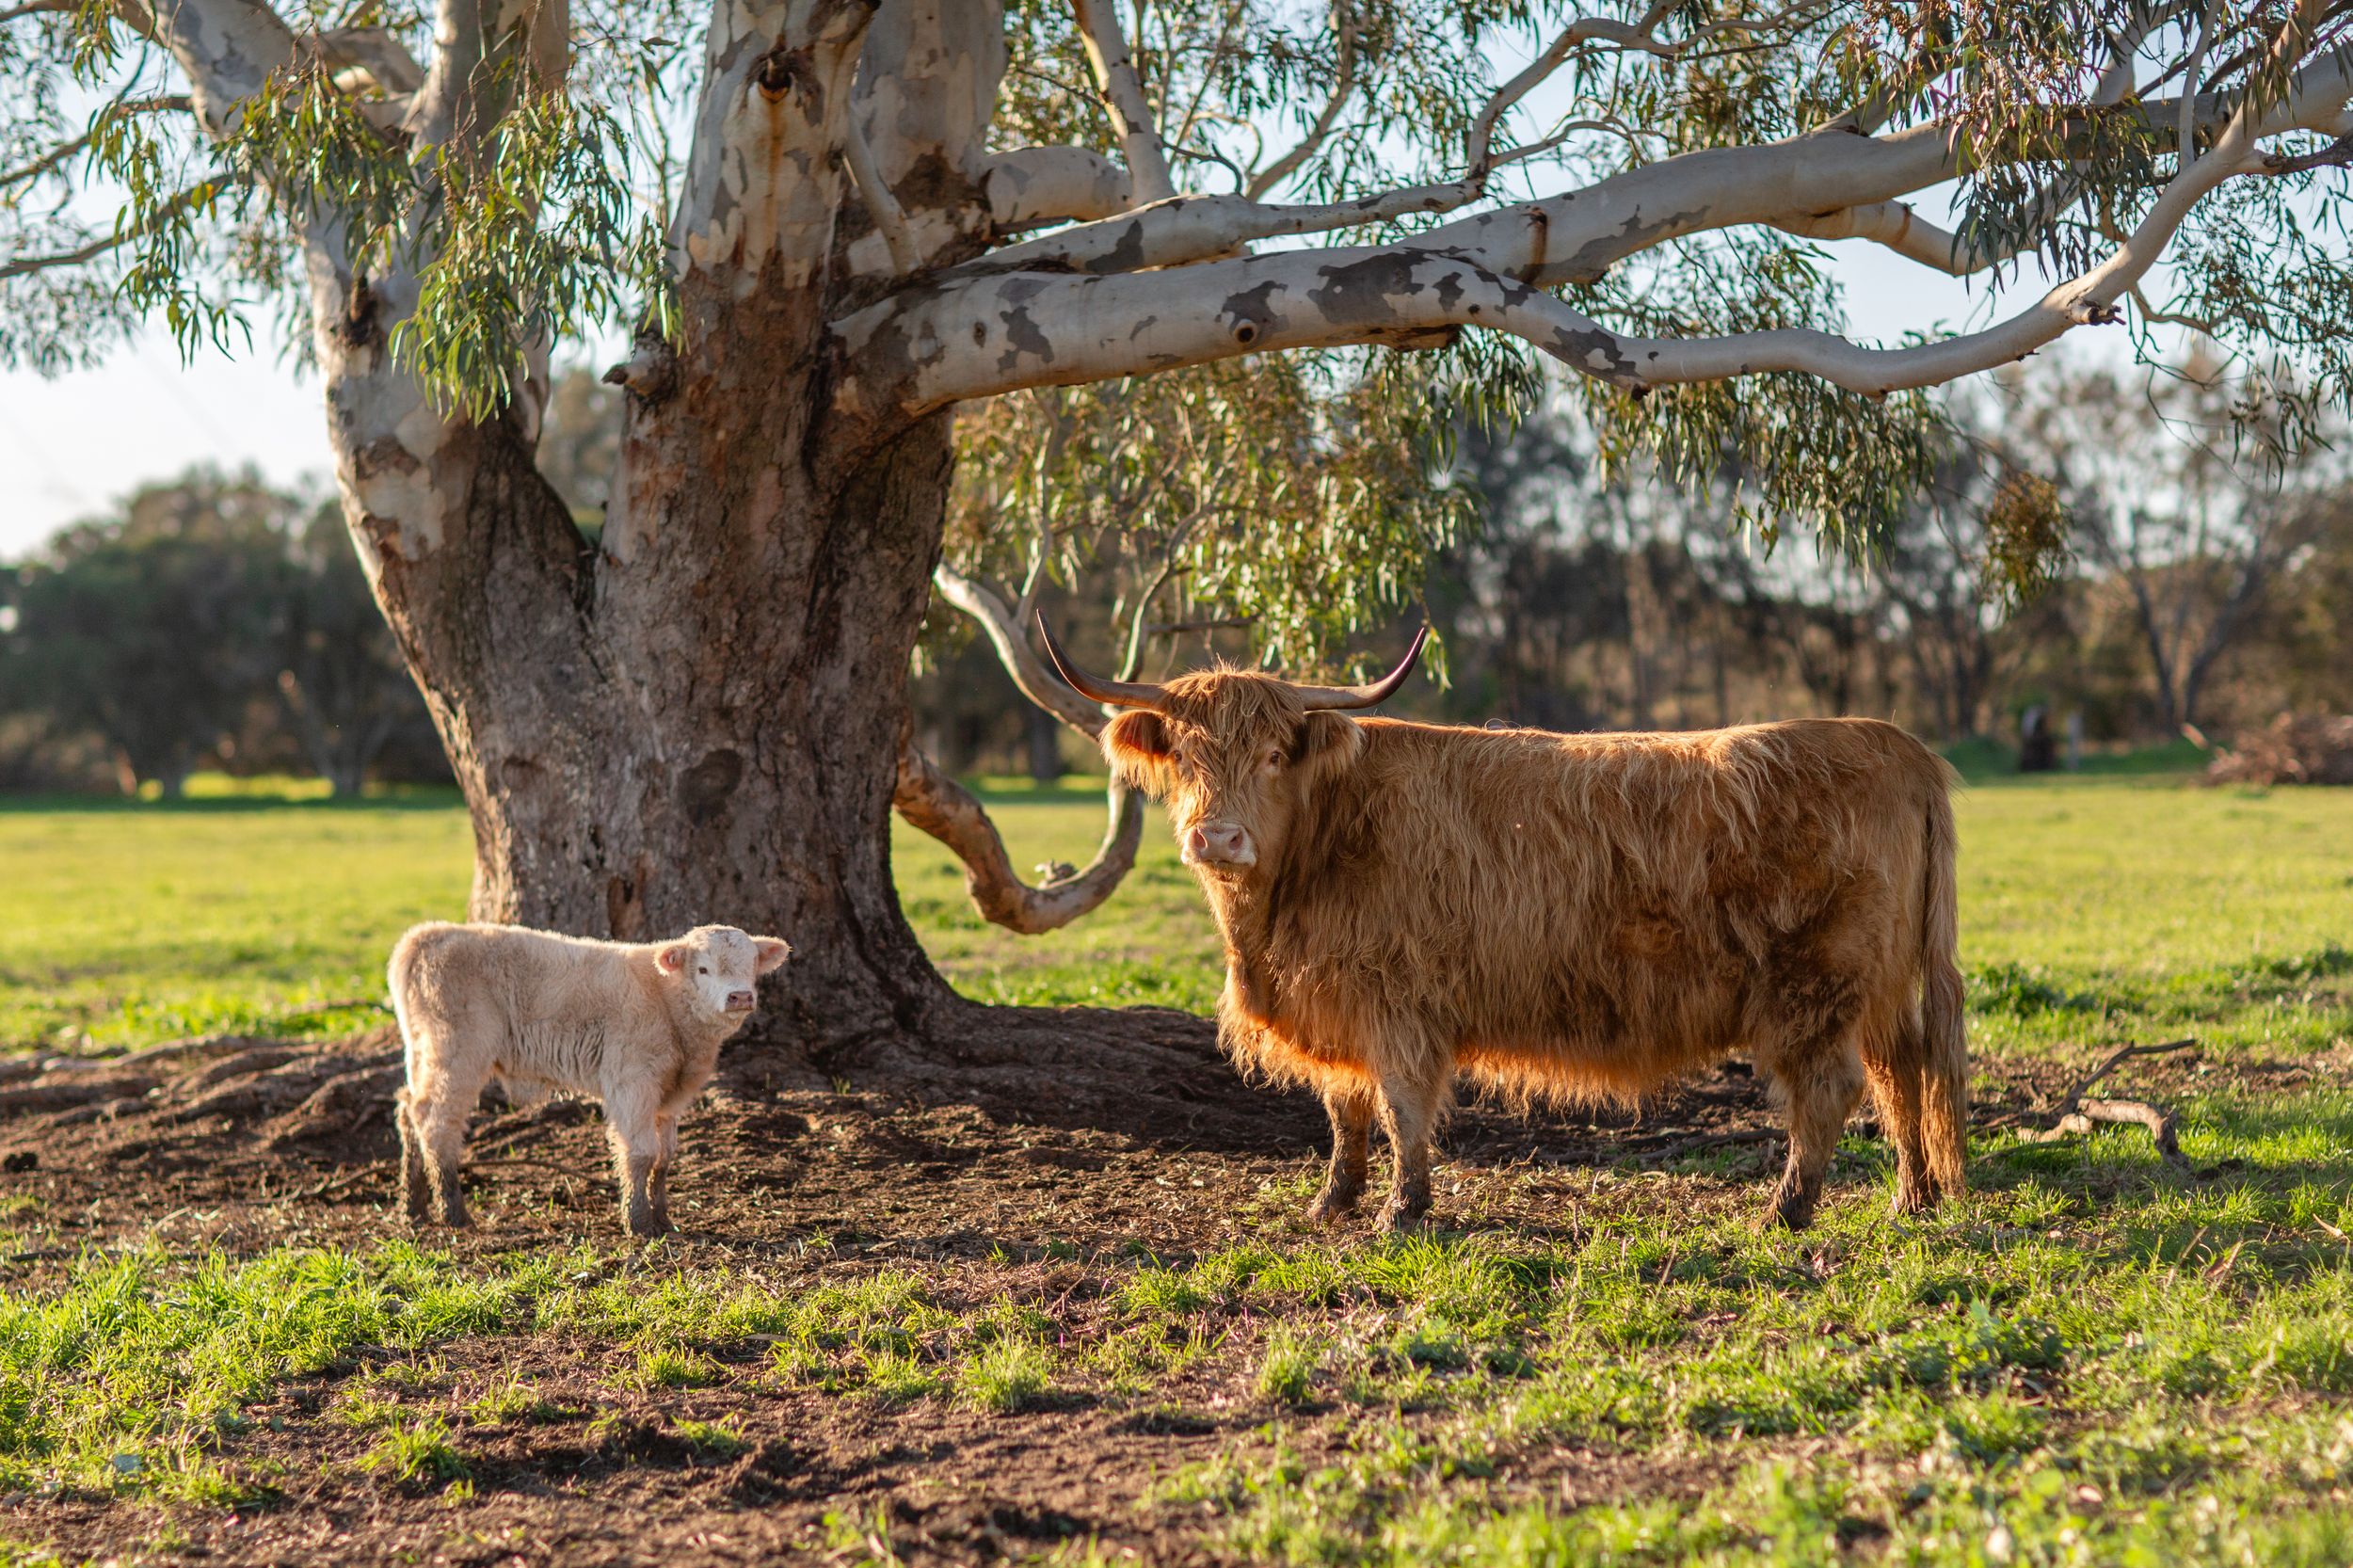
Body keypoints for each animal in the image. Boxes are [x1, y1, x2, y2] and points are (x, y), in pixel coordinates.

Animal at [388, 922, 791, 1236]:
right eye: (704, 969)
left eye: (752, 964)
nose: (740, 996)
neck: (668, 1002)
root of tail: (427, 934)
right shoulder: (631, 1083)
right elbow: (641, 1153)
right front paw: (639, 1223)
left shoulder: (668, 1097)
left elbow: (664, 1157)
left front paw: (664, 1220)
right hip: (458, 1054)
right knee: (436, 1122)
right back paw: (453, 1213)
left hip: (424, 1053)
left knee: (408, 1108)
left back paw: (413, 1207)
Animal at [1037, 615, 1966, 1233]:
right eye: (1186, 758)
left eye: (1271, 755)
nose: (1217, 837)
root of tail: (1898, 745)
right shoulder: (1338, 1004)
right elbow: (1344, 1109)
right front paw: (1334, 1200)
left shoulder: (1397, 1002)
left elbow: (1401, 1107)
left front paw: (1403, 1211)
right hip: (1877, 987)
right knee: (1903, 1072)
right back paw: (1912, 1197)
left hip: (1816, 985)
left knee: (1833, 1088)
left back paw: (1788, 1210)